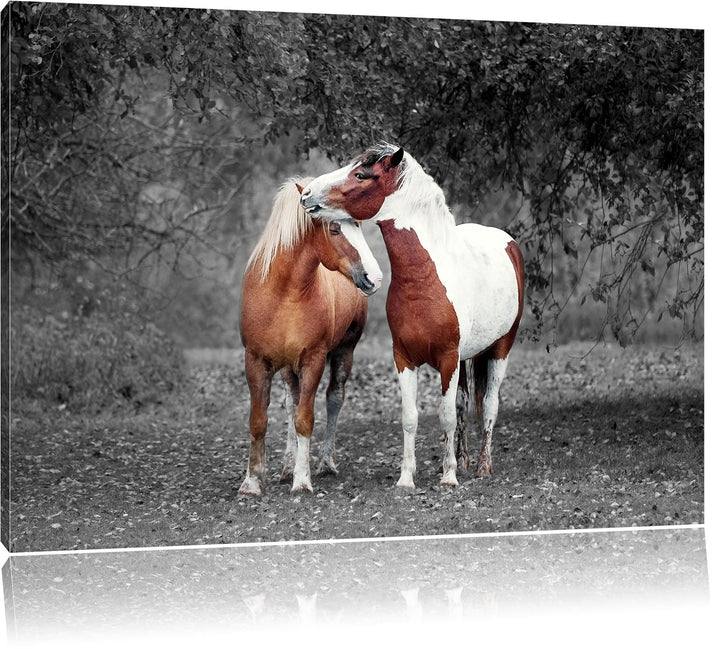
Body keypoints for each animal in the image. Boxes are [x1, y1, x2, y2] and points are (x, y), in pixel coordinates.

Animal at [239, 177, 382, 495]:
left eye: (358, 225)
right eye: (335, 229)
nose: (374, 278)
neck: (283, 294)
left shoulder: (313, 360)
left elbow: (305, 420)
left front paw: (302, 481)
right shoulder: (256, 361)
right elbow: (259, 421)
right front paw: (252, 482)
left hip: (344, 351)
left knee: (334, 398)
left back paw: (325, 463)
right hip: (287, 368)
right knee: (291, 403)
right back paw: (287, 467)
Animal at [300, 144, 524, 489]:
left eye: (361, 174)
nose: (307, 193)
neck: (425, 279)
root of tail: (506, 242)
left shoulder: (447, 359)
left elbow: (446, 415)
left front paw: (449, 478)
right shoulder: (404, 359)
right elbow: (411, 417)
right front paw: (407, 478)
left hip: (500, 349)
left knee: (489, 404)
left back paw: (482, 466)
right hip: (465, 358)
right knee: (464, 403)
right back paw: (463, 461)